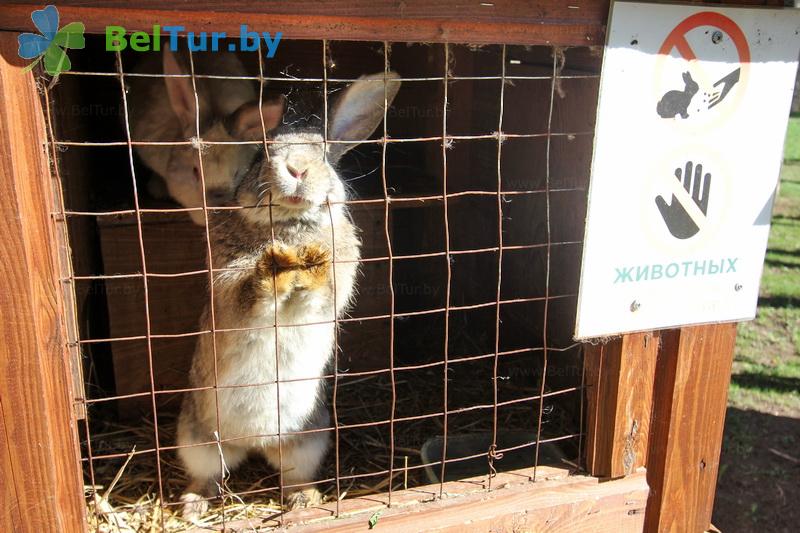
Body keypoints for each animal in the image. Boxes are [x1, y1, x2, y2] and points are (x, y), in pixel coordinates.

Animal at [175, 71, 400, 520]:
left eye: (324, 153)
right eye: (262, 153)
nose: (298, 168)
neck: (292, 224)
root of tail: (254, 443)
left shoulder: (336, 284)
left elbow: (321, 293)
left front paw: (308, 266)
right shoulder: (228, 282)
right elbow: (247, 294)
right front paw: (276, 266)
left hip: (309, 439)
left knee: (292, 475)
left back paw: (303, 499)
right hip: (197, 438)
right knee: (209, 474)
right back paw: (194, 504)